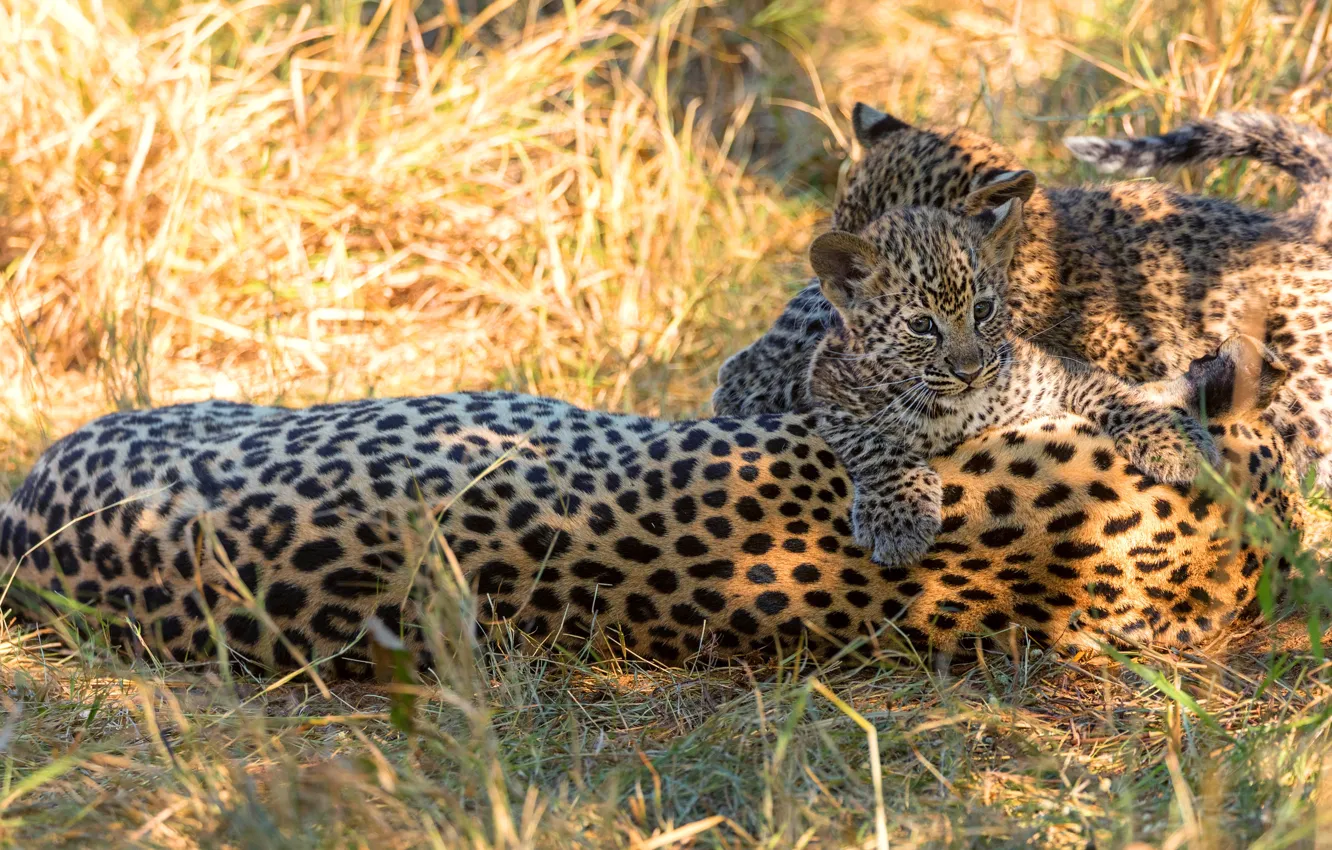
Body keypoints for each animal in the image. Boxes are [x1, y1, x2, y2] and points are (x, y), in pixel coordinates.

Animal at [803, 200, 1216, 568]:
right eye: (921, 325)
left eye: (982, 310)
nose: (969, 372)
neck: (959, 414)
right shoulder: (828, 395)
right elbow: (874, 447)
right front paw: (898, 514)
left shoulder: (1054, 371)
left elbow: (1110, 392)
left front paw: (1175, 442)